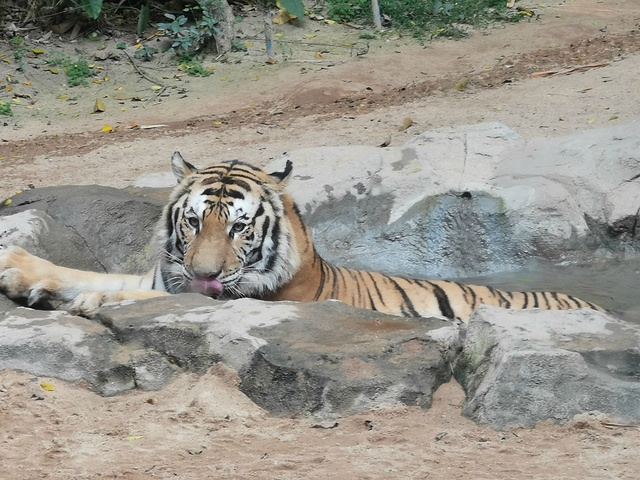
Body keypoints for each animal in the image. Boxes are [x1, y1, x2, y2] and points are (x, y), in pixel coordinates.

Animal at [0, 152, 604, 320]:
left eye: (239, 227)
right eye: (193, 222)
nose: (203, 273)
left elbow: (123, 292)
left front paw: (96, 301)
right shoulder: (164, 276)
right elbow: (84, 272)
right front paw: (18, 268)